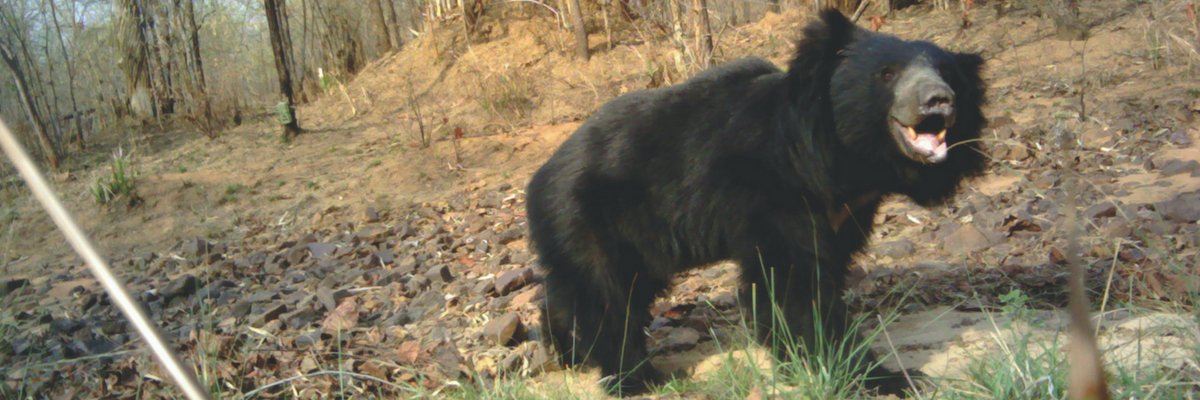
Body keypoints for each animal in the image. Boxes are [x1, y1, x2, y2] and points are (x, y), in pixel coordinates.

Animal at [525, 9, 984, 396]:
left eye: (946, 72)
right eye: (887, 74)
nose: (939, 99)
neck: (843, 163)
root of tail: (538, 177)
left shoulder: (847, 210)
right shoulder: (772, 191)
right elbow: (793, 282)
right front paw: (877, 375)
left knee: (594, 291)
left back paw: (570, 352)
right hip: (591, 217)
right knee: (604, 293)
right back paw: (635, 377)